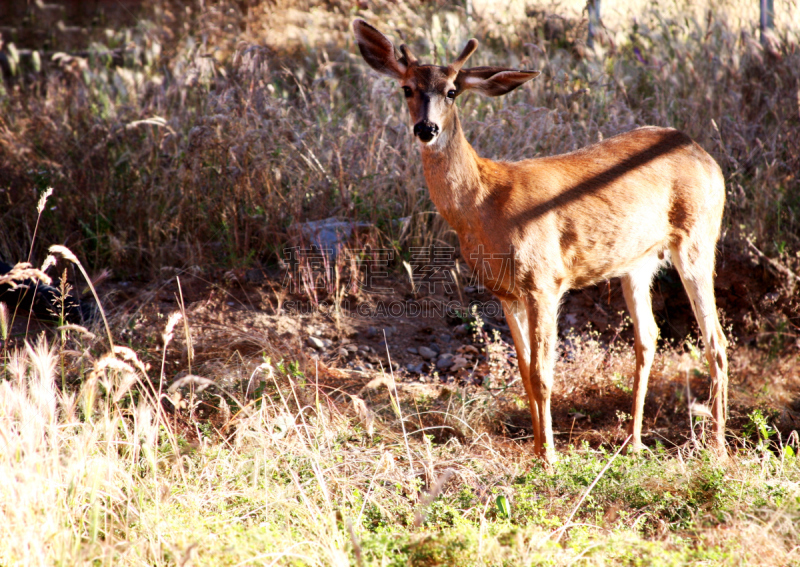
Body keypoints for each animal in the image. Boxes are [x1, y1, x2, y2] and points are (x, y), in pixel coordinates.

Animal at [354, 20, 728, 464]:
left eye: (452, 91)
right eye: (406, 88)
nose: (426, 129)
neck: (484, 204)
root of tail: (706, 156)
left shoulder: (544, 280)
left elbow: (543, 372)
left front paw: (549, 457)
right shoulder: (505, 292)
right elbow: (524, 371)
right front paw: (535, 448)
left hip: (697, 239)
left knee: (715, 339)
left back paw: (717, 446)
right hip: (636, 262)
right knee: (648, 337)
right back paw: (634, 441)